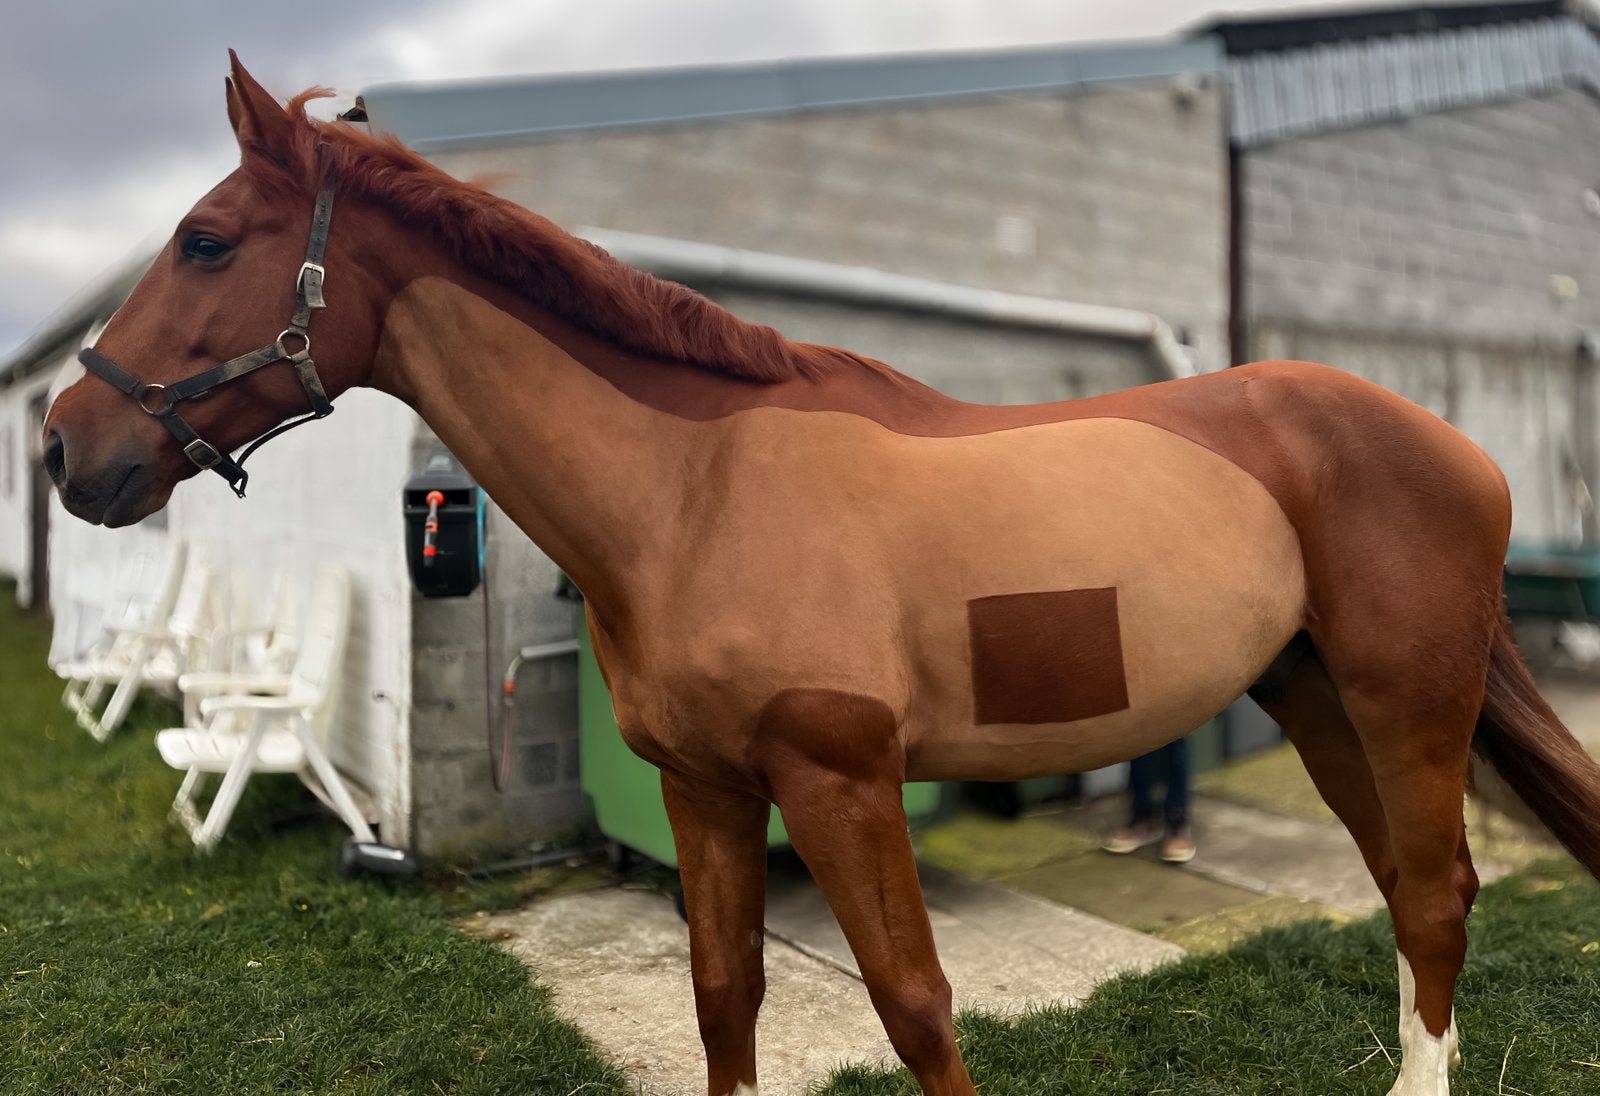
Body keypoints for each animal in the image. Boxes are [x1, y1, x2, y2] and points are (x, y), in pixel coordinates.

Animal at [42, 54, 1600, 1096]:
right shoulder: (705, 789)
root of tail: (1449, 441)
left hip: (1406, 701)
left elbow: (913, 1004)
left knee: (1437, 890)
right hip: (1315, 694)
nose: (64, 445)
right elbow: (725, 994)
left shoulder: (842, 783)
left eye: (205, 241)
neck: (696, 492)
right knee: (1407, 887)